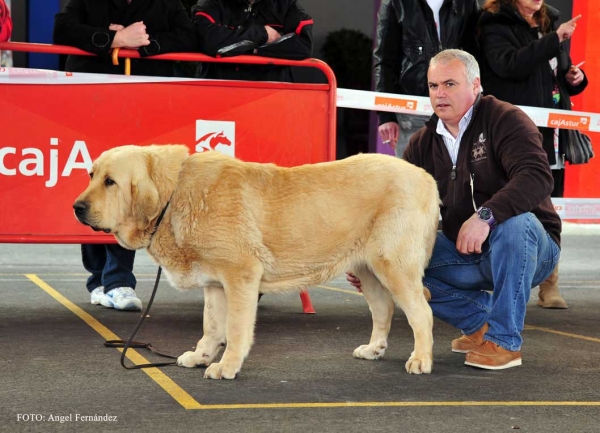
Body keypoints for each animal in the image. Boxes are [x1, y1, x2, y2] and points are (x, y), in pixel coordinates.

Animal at [75, 145, 440, 378]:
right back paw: (374, 348)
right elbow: (212, 326)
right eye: (91, 175)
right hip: (368, 270)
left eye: (110, 182)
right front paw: (202, 356)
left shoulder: (240, 277)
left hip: (393, 266)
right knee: (385, 309)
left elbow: (236, 329)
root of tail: (426, 177)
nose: (77, 207)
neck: (175, 193)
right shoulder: (215, 285)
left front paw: (226, 366)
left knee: (421, 313)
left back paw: (421, 359)